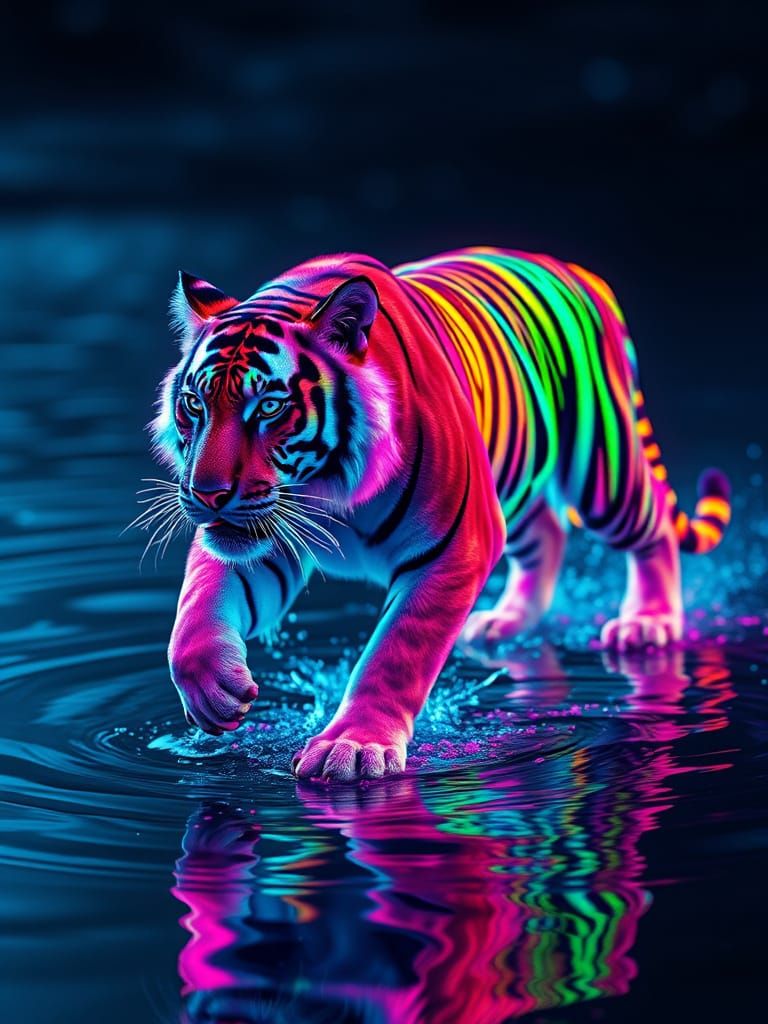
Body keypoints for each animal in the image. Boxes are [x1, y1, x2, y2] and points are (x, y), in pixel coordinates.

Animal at [151, 246, 731, 781]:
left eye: (269, 408)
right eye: (195, 404)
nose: (206, 492)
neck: (329, 489)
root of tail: (576, 270)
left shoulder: (455, 546)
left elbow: (397, 651)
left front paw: (354, 747)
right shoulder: (261, 532)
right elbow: (198, 601)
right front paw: (214, 689)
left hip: (601, 469)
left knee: (651, 529)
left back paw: (647, 623)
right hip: (514, 484)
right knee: (547, 532)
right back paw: (504, 621)